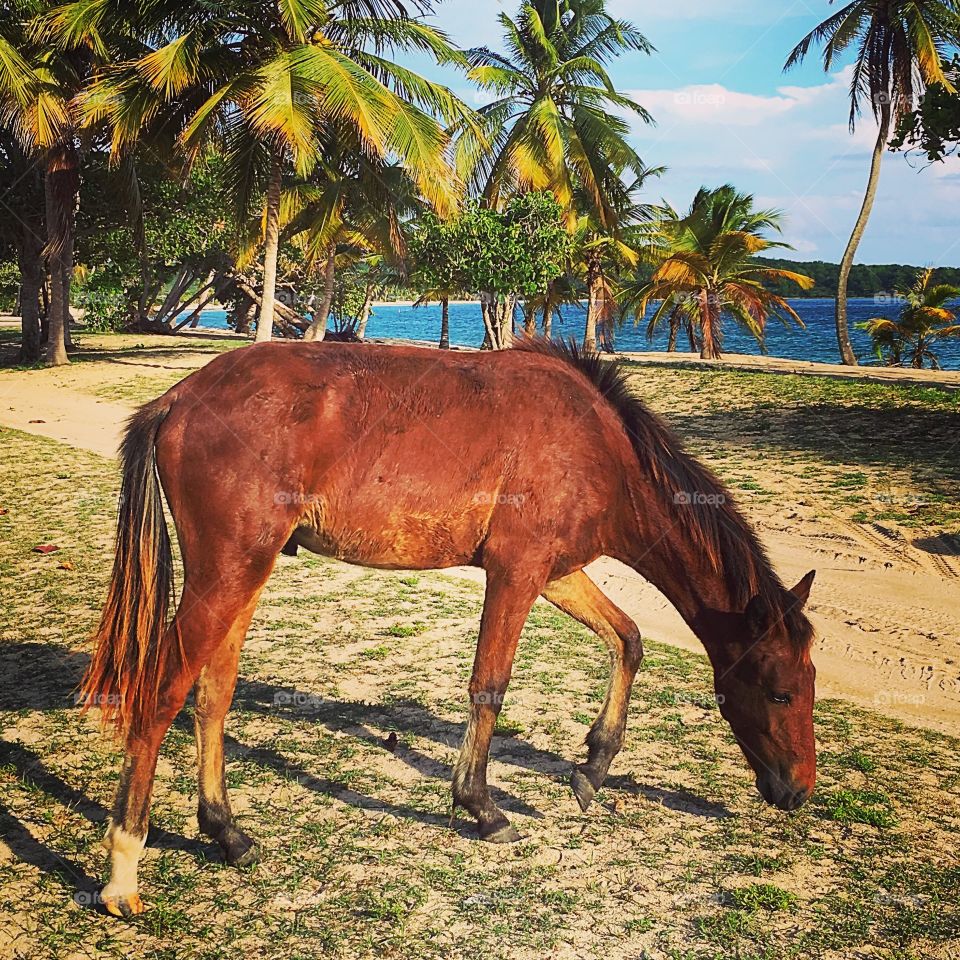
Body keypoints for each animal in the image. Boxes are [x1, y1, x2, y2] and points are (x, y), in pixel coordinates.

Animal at [80, 338, 817, 917]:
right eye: (780, 692)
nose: (799, 791)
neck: (596, 444)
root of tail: (178, 399)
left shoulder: (556, 571)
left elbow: (628, 639)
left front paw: (594, 765)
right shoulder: (516, 572)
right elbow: (489, 685)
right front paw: (481, 806)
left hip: (243, 578)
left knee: (212, 698)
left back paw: (226, 834)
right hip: (226, 575)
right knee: (161, 692)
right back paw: (123, 871)